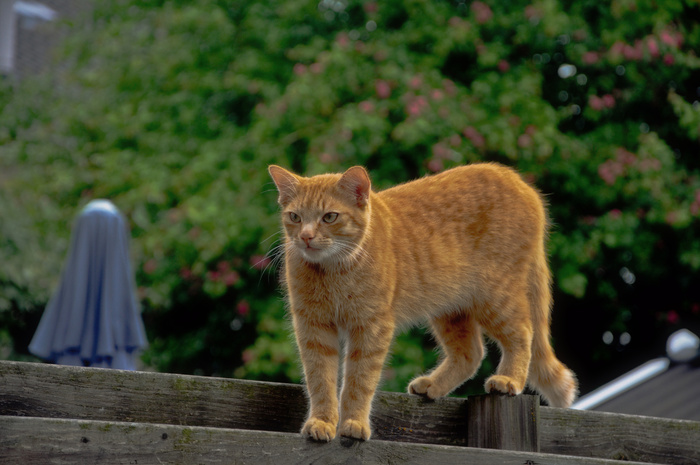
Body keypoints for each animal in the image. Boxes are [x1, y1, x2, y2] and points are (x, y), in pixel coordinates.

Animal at [266, 162, 576, 438]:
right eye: (295, 217)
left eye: (329, 217)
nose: (306, 236)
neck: (331, 272)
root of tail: (519, 183)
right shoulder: (313, 329)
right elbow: (321, 380)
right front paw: (322, 422)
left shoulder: (371, 328)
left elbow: (358, 381)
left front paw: (353, 423)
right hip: (450, 309)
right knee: (471, 353)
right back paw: (433, 385)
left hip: (495, 296)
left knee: (522, 333)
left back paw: (509, 379)